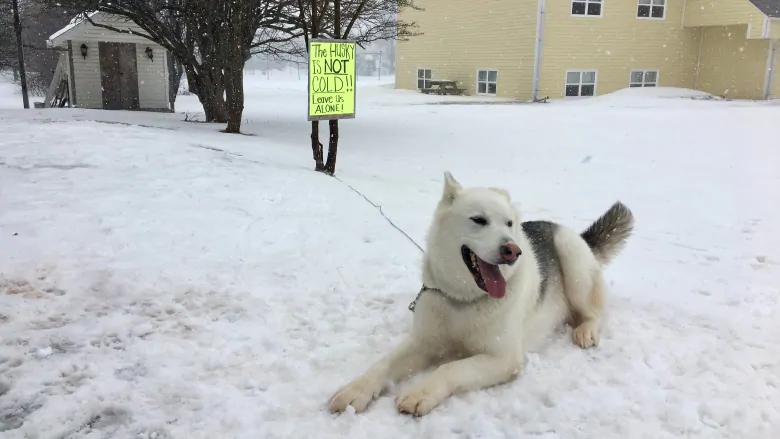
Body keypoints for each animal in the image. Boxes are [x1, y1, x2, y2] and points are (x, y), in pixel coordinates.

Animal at [330, 172, 632, 416]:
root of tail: (572, 232)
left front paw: (421, 392)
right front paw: (355, 390)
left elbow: (449, 368)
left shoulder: (503, 359)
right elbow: (382, 364)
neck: (464, 300)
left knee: (594, 312)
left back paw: (586, 330)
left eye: (509, 223)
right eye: (478, 220)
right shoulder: (422, 343)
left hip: (571, 258)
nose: (513, 250)